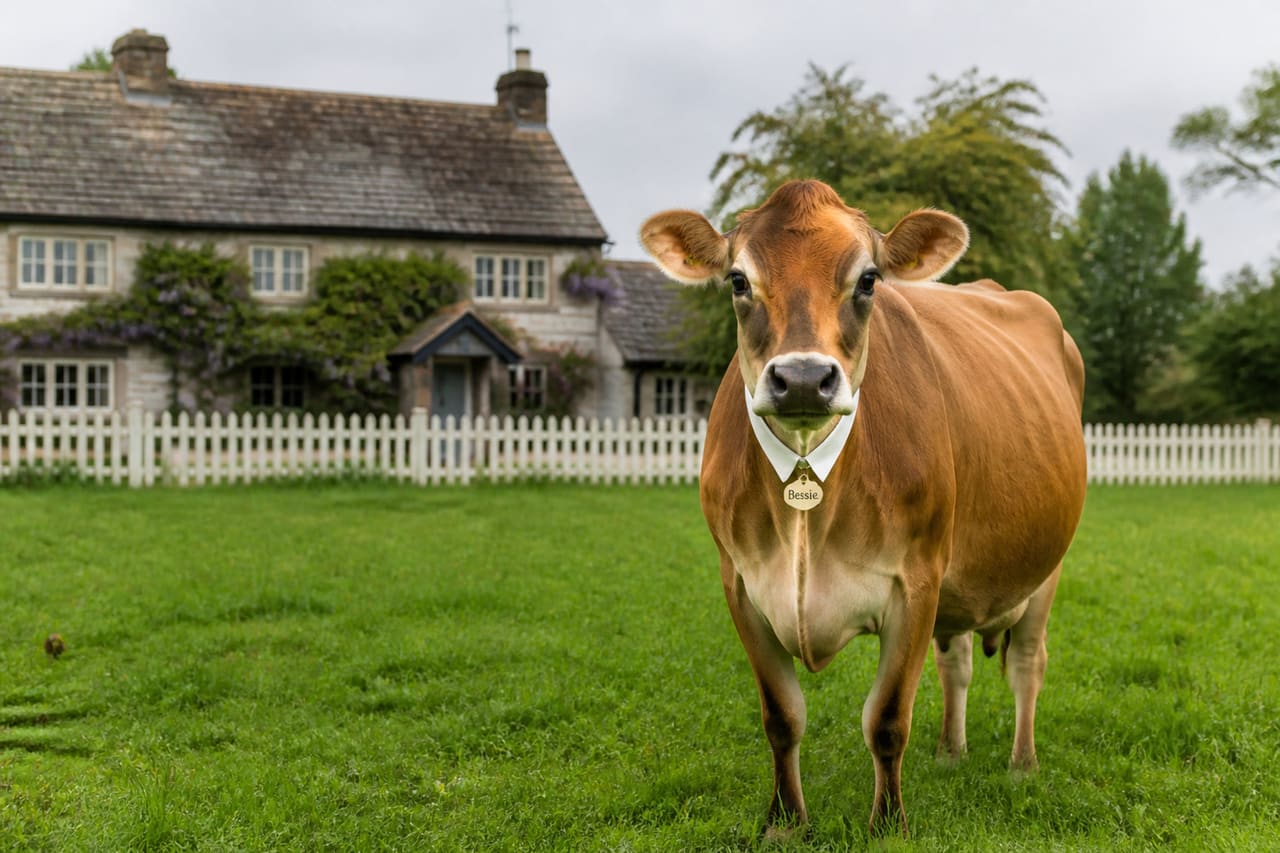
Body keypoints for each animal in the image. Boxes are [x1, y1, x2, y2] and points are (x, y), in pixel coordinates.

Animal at [640, 180, 1087, 838]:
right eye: (738, 280)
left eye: (869, 279)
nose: (803, 378)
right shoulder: (741, 586)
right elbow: (781, 717)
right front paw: (784, 820)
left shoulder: (916, 582)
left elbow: (887, 720)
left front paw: (888, 824)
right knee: (956, 661)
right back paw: (950, 753)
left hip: (1045, 565)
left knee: (1028, 663)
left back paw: (1022, 765)